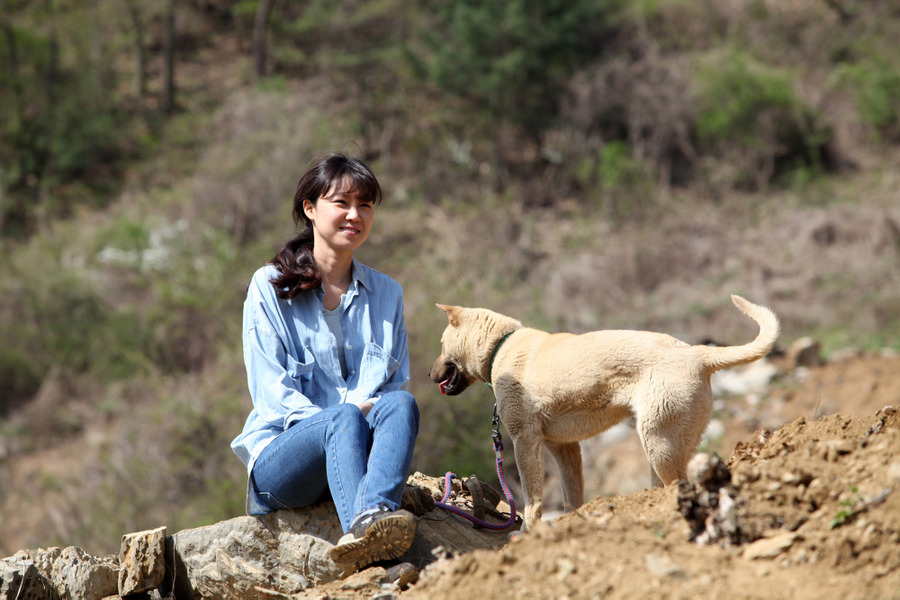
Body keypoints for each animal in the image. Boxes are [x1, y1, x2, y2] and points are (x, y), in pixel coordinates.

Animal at [428, 296, 780, 528]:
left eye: (442, 344)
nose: (429, 375)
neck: (501, 345)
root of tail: (698, 354)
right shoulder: (564, 447)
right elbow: (571, 495)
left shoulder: (524, 441)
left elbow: (531, 500)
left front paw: (527, 532)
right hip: (668, 443)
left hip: (658, 443)